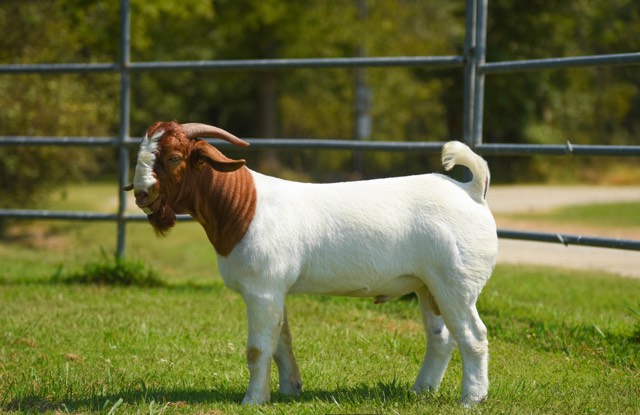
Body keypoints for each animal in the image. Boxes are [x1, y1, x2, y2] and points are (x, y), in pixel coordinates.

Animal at [124, 121, 498, 406]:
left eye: (174, 156)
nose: (141, 194)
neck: (244, 206)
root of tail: (471, 191)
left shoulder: (262, 289)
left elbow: (258, 348)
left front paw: (253, 400)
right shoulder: (275, 290)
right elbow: (281, 343)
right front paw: (290, 390)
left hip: (456, 282)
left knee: (474, 336)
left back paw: (471, 399)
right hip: (427, 285)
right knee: (442, 338)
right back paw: (421, 391)